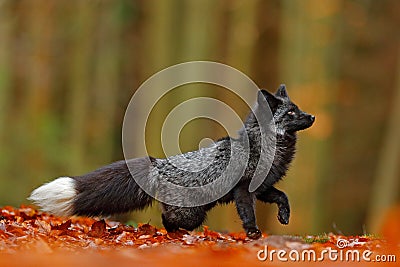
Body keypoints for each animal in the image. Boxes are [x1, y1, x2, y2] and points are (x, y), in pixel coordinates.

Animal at [28, 85, 316, 240]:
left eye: (299, 109)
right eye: (292, 113)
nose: (313, 116)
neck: (268, 147)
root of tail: (159, 163)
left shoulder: (263, 187)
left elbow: (283, 197)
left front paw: (284, 216)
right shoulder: (243, 190)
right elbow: (248, 214)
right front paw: (253, 233)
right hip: (191, 213)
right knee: (167, 220)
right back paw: (175, 236)